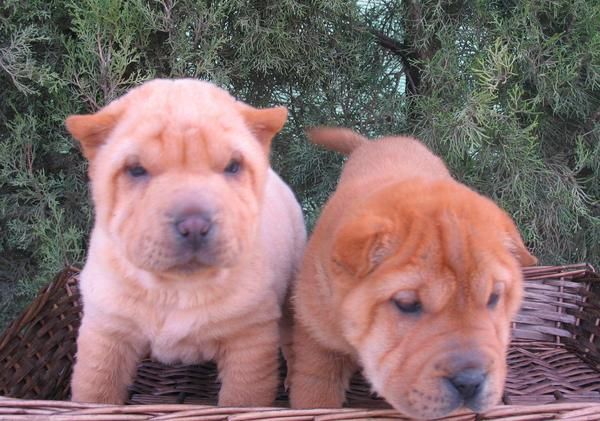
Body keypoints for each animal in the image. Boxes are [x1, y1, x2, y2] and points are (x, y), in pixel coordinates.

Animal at [67, 78, 304, 404]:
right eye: (136, 170)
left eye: (233, 166)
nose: (194, 224)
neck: (176, 289)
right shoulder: (106, 332)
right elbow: (95, 391)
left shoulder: (249, 340)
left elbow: (241, 399)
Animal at [288, 127, 536, 416]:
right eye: (407, 304)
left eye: (494, 298)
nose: (469, 381)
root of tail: (376, 142)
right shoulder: (318, 339)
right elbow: (316, 392)